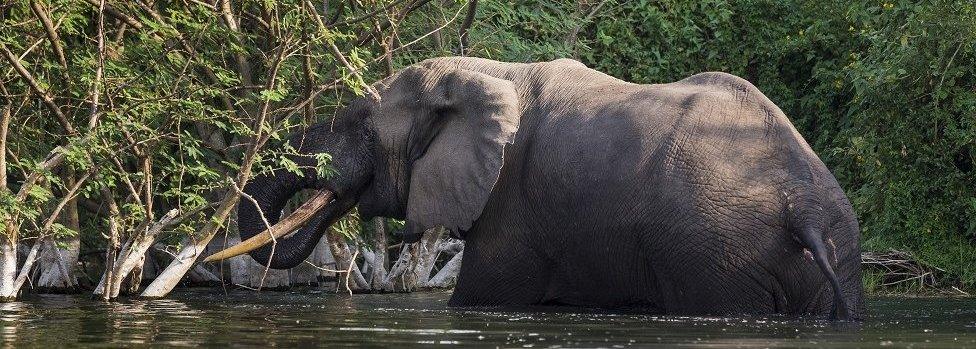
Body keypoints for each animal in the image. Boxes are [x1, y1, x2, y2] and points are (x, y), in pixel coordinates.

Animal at [204, 56, 860, 318]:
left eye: (358, 124)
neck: (484, 73)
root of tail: (802, 206)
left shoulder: (511, 203)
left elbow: (479, 298)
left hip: (715, 252)